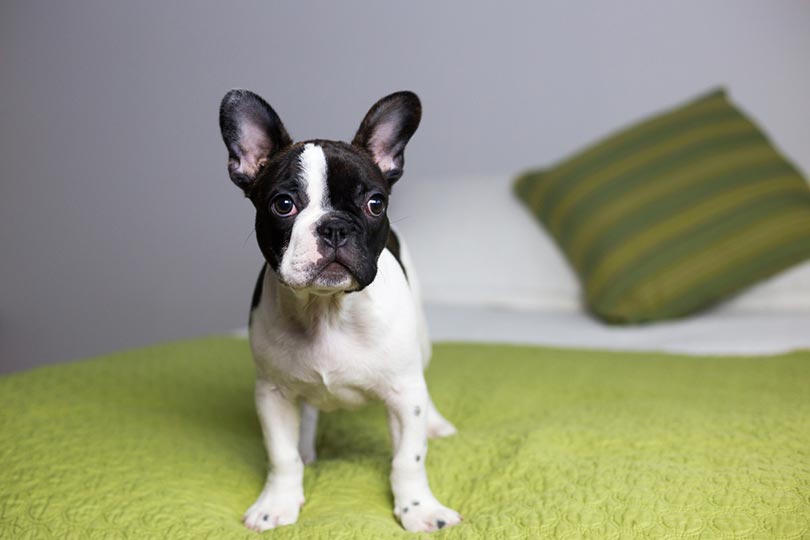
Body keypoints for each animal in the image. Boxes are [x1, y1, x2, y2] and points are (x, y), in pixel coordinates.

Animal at [219, 88, 460, 532]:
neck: (327, 310)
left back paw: (435, 424)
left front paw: (419, 508)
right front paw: (277, 502)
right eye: (283, 204)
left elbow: (408, 459)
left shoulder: (404, 395)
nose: (334, 226)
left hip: (421, 345)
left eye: (375, 204)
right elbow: (281, 456)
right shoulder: (273, 393)